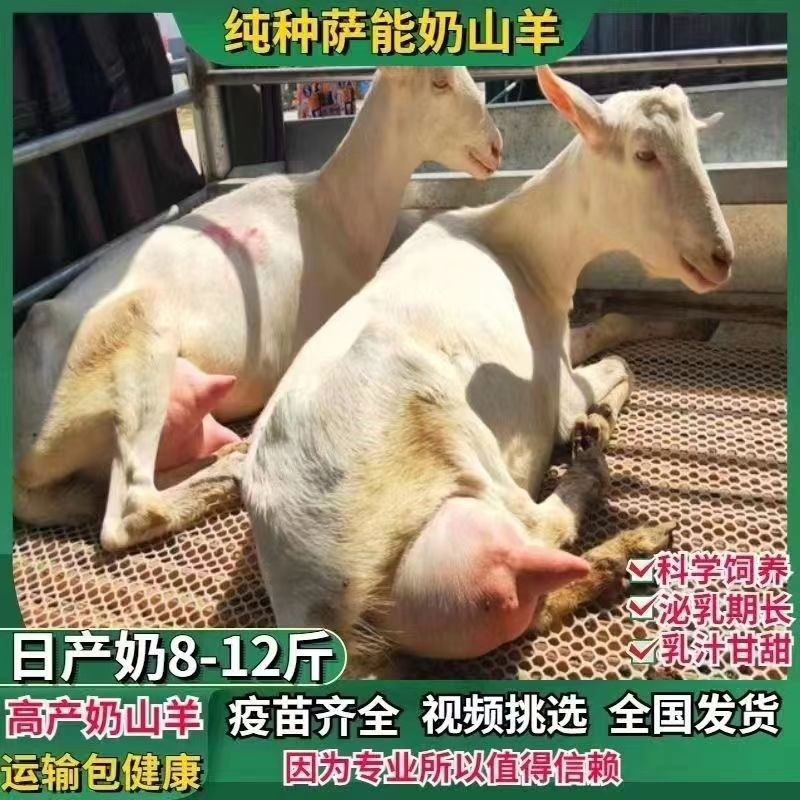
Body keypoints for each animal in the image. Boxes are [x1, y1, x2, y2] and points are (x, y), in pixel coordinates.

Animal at [243, 65, 734, 676]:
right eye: (645, 154)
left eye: (695, 145)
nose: (721, 257)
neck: (524, 247)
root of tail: (319, 606)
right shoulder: (555, 381)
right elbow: (616, 367)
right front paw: (597, 419)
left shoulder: (561, 338)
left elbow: (611, 324)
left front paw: (693, 326)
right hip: (441, 420)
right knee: (540, 530)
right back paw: (606, 495)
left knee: (536, 603)